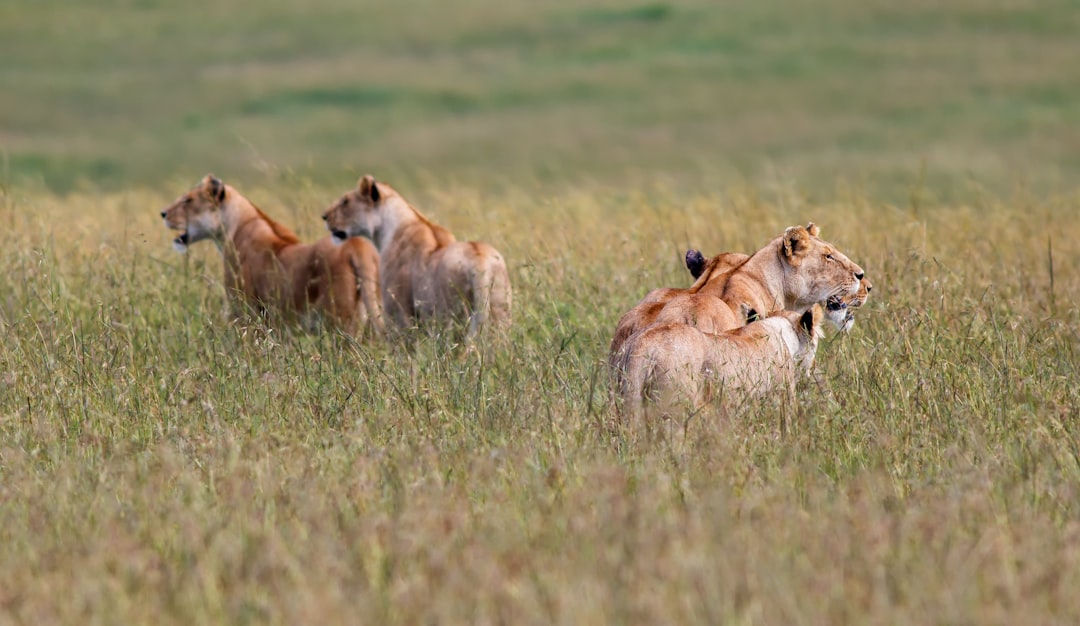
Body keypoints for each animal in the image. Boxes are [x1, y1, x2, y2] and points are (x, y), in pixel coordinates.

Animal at [157, 171, 382, 336]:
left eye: (188, 200)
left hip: (340, 322)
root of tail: (358, 246)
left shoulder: (243, 309)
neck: (233, 228)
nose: (163, 213)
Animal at [319, 173, 509, 338]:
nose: (324, 216)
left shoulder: (398, 311)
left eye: (345, 201)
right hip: (499, 312)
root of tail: (481, 263)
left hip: (452, 315)